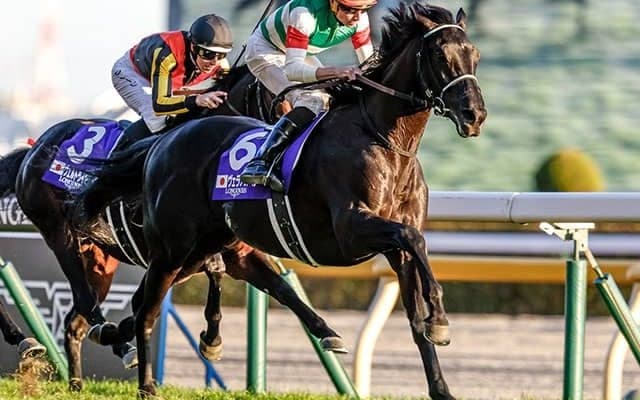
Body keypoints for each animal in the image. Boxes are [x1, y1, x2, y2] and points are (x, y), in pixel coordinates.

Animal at [0, 62, 276, 390]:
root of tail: (34, 148)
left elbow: (215, 273)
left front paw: (211, 338)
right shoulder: (171, 251)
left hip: (98, 259)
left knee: (77, 316)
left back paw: (78, 377)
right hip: (58, 233)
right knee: (84, 298)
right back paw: (112, 343)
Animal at [77, 2, 486, 398]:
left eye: (474, 55)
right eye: (440, 54)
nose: (475, 115)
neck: (385, 142)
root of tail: (164, 141)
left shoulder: (394, 248)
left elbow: (415, 306)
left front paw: (440, 375)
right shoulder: (352, 228)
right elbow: (411, 238)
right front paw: (441, 318)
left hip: (201, 246)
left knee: (148, 300)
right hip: (171, 248)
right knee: (147, 309)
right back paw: (145, 383)